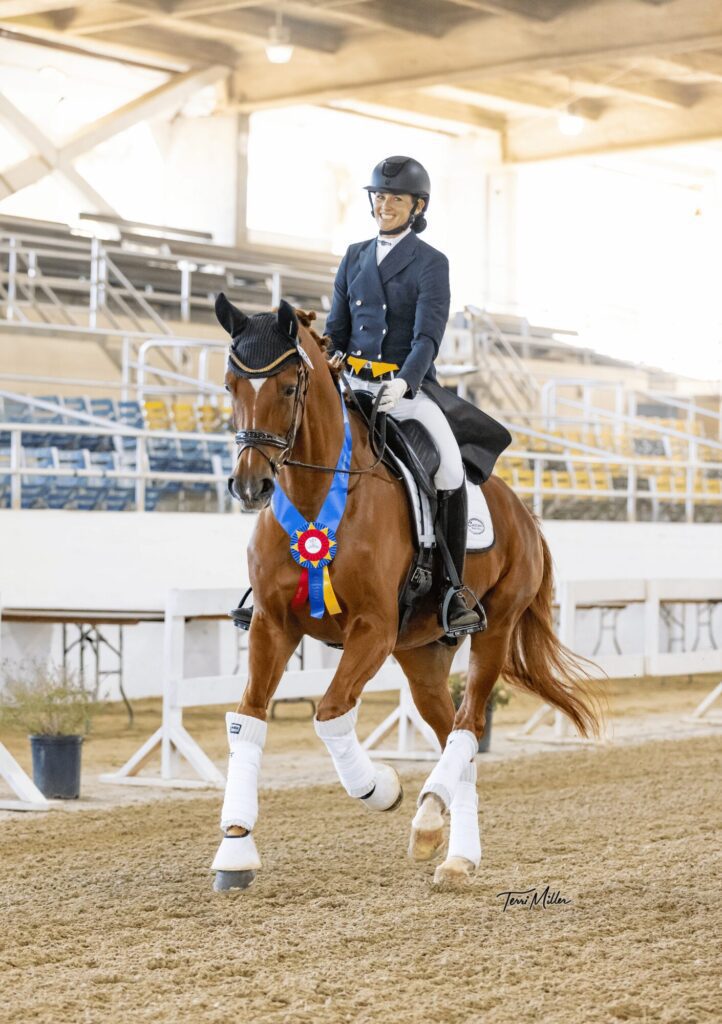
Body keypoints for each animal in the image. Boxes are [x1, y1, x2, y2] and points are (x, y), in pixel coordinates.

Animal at [211, 295, 601, 892]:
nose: (251, 485)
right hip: (421, 654)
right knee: (453, 736)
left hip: (493, 627)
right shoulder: (272, 624)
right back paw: (453, 847)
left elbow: (331, 714)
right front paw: (235, 849)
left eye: (289, 387)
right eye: (232, 384)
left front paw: (382, 788)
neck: (317, 495)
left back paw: (432, 819)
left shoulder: (372, 628)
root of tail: (525, 513)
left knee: (470, 725)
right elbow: (248, 719)